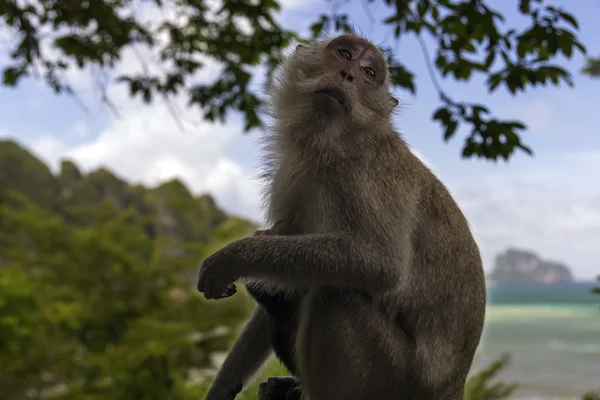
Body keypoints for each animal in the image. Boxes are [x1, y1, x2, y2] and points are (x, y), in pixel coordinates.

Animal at [197, 33, 488, 400]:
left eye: (368, 72)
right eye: (345, 54)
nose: (348, 74)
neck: (329, 141)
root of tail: (453, 387)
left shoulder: (363, 172)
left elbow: (379, 263)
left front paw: (234, 256)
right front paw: (222, 387)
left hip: (395, 378)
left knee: (335, 296)